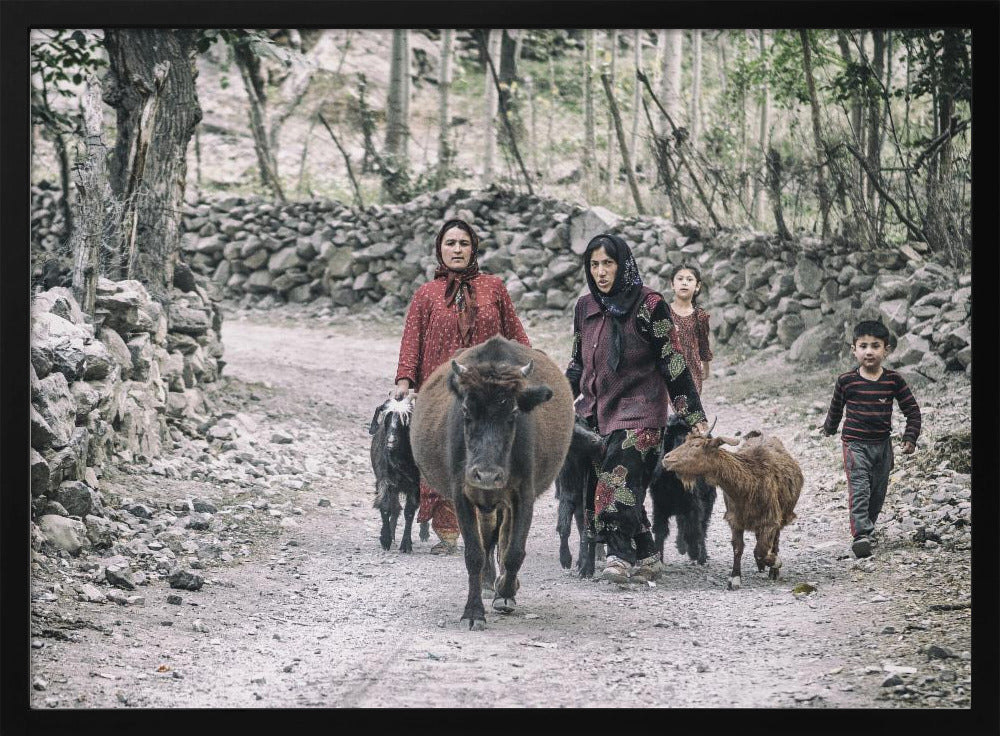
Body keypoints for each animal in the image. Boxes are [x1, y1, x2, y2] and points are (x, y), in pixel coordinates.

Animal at [368, 400, 422, 548]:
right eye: (386, 417)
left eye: (405, 420)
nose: (391, 441)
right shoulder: (385, 481)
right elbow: (386, 507)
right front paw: (385, 539)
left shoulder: (415, 485)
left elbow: (409, 512)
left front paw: (406, 544)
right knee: (395, 507)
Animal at [410, 336, 576, 628]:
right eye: (466, 412)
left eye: (512, 415)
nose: (487, 475)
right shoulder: (462, 494)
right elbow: (474, 553)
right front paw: (473, 612)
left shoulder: (524, 495)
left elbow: (514, 550)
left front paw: (506, 593)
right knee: (488, 536)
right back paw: (487, 582)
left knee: (503, 537)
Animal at [552, 416, 604, 576]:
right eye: (573, 434)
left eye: (584, 422)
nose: (598, 440)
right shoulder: (567, 496)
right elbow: (564, 527)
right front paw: (566, 559)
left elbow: (587, 532)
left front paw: (586, 567)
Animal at [648, 414, 720, 564]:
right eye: (668, 433)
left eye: (687, 436)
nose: (674, 459)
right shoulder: (659, 505)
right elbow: (660, 530)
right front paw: (659, 556)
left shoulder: (694, 503)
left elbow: (694, 528)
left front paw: (695, 552)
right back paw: (682, 547)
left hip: (707, 499)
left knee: (702, 525)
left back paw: (701, 555)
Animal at [664, 428, 804, 588]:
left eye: (696, 445)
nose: (666, 458)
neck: (749, 484)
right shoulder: (735, 520)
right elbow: (738, 548)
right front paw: (735, 578)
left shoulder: (770, 520)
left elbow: (760, 551)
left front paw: (776, 562)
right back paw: (761, 566)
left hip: (782, 515)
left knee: (775, 541)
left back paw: (772, 571)